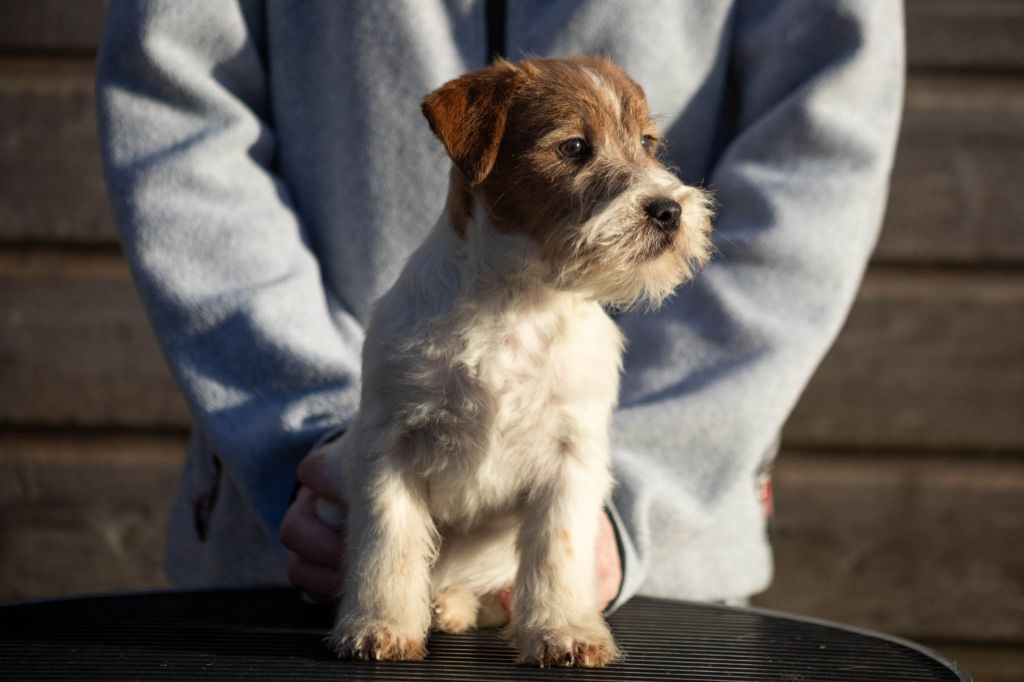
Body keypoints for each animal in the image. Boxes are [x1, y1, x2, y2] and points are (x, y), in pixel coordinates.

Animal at [325, 55, 712, 667]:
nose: (669, 210)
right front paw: (379, 625)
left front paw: (563, 631)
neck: (519, 301)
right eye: (575, 147)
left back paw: (455, 605)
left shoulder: (570, 458)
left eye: (648, 144)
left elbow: (557, 551)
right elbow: (390, 544)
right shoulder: (389, 448)